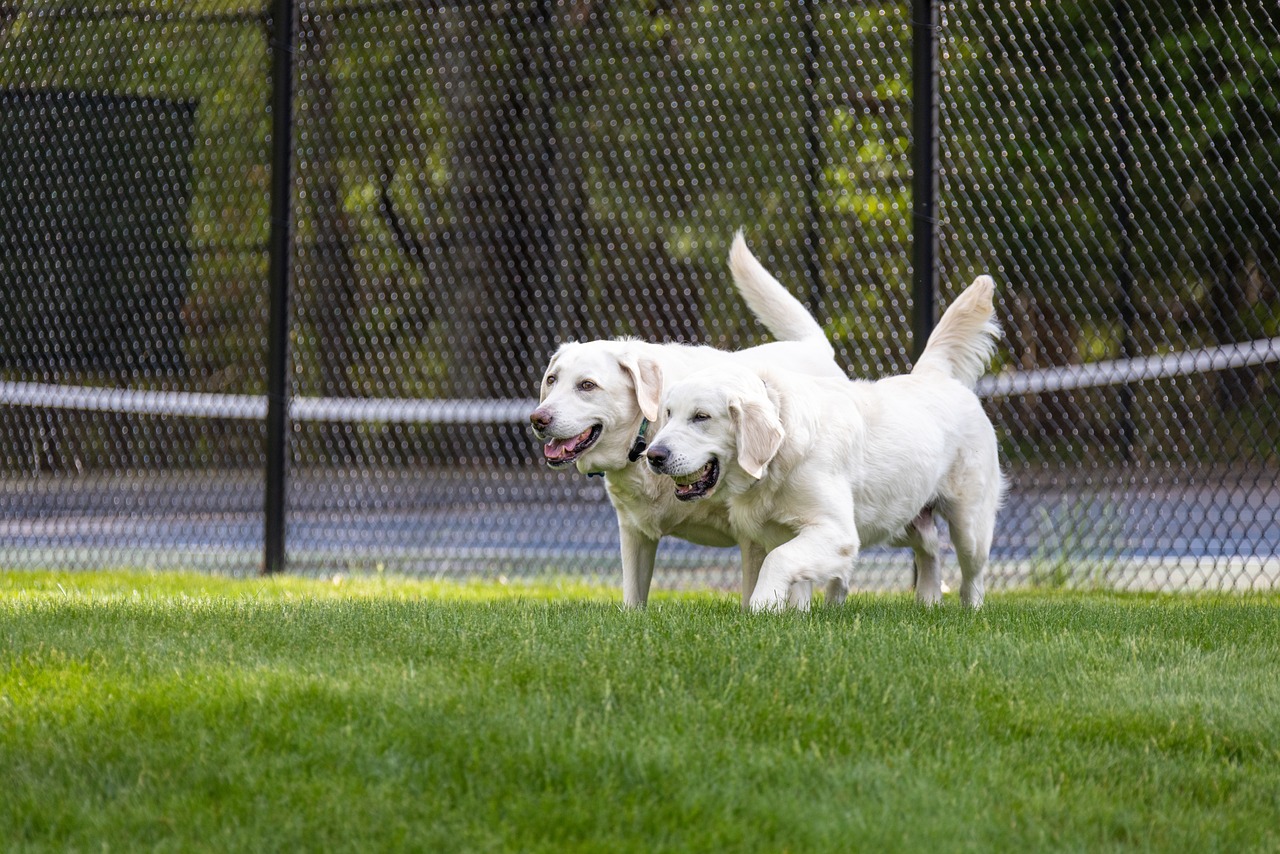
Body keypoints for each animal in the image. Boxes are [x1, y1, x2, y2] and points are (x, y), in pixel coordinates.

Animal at [532, 234, 849, 606]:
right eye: (552, 380)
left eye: (587, 385)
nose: (537, 419)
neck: (648, 433)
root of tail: (814, 348)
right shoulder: (634, 533)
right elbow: (633, 599)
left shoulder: (754, 537)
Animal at [645, 277, 1003, 612]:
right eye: (668, 413)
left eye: (701, 416)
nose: (653, 455)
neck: (779, 457)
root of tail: (933, 374)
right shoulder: (782, 533)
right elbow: (794, 581)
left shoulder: (837, 533)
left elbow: (778, 561)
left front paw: (761, 607)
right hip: (897, 514)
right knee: (929, 547)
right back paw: (926, 600)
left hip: (969, 525)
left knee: (971, 576)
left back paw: (970, 610)